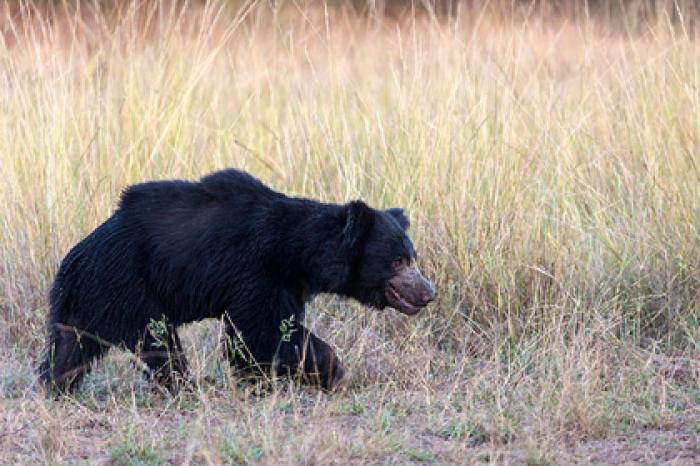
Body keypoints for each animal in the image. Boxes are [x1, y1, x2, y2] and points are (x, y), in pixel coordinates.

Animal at [38, 168, 434, 394]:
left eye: (412, 256)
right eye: (397, 259)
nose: (428, 292)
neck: (298, 252)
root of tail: (76, 257)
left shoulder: (286, 283)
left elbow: (257, 335)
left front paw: (259, 379)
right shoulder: (255, 269)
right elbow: (262, 330)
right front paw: (331, 370)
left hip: (88, 302)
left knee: (69, 348)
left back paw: (56, 386)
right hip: (130, 286)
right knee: (160, 342)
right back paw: (182, 386)